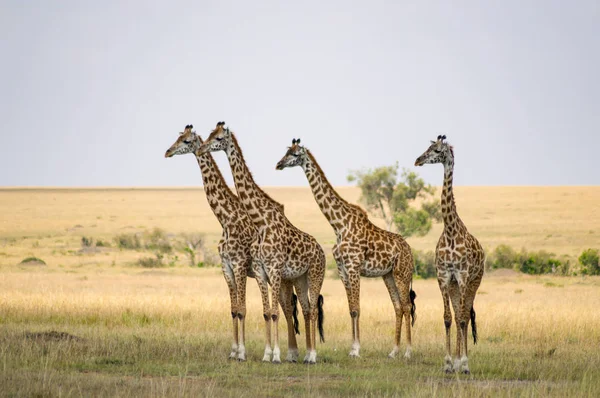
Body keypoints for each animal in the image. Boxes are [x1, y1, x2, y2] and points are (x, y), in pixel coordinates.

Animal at [164, 126, 302, 362]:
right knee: (284, 309)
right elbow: (233, 309)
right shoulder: (226, 266)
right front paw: (233, 351)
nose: (168, 151)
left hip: (283, 277)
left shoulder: (238, 265)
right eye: (178, 137)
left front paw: (242, 353)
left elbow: (242, 309)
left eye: (186, 140)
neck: (226, 219)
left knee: (287, 308)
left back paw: (289, 353)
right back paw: (290, 353)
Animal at [198, 122, 326, 364]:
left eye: (218, 137)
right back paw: (303, 354)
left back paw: (312, 355)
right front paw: (267, 354)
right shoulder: (259, 270)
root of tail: (322, 250)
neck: (262, 222)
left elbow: (271, 312)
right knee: (303, 309)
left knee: (312, 310)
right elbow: (267, 312)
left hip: (315, 275)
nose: (201, 148)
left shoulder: (271, 269)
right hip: (298, 279)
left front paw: (272, 355)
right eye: (208, 135)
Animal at [276, 138, 418, 360]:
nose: (279, 164)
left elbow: (357, 308)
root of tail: (410, 252)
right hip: (389, 275)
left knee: (406, 305)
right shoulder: (342, 270)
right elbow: (351, 308)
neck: (338, 224)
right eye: (286, 151)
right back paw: (393, 351)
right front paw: (352, 348)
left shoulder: (353, 267)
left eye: (295, 154)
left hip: (402, 273)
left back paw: (408, 352)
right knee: (398, 307)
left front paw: (357, 350)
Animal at [414, 135, 486, 374]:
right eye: (427, 147)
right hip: (455, 285)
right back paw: (455, 361)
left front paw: (463, 363)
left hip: (474, 282)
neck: (451, 230)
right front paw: (448, 363)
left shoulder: (462, 276)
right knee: (457, 314)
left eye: (437, 150)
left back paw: (463, 362)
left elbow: (463, 319)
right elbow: (447, 318)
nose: (418, 160)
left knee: (466, 315)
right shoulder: (444, 276)